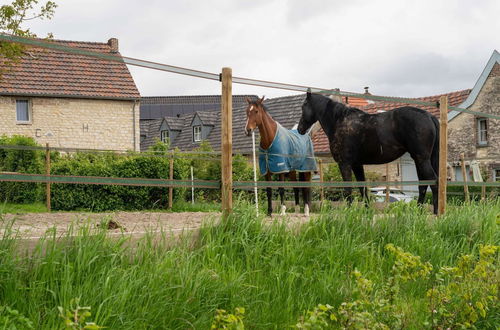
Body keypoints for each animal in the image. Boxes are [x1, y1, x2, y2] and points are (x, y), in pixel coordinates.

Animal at [296, 91, 438, 214]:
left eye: (303, 106)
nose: (300, 129)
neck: (339, 121)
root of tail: (429, 116)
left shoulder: (344, 164)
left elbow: (348, 188)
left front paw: (348, 211)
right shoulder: (357, 164)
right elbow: (362, 187)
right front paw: (367, 210)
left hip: (421, 159)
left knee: (433, 181)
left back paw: (436, 212)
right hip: (419, 160)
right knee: (423, 185)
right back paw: (419, 211)